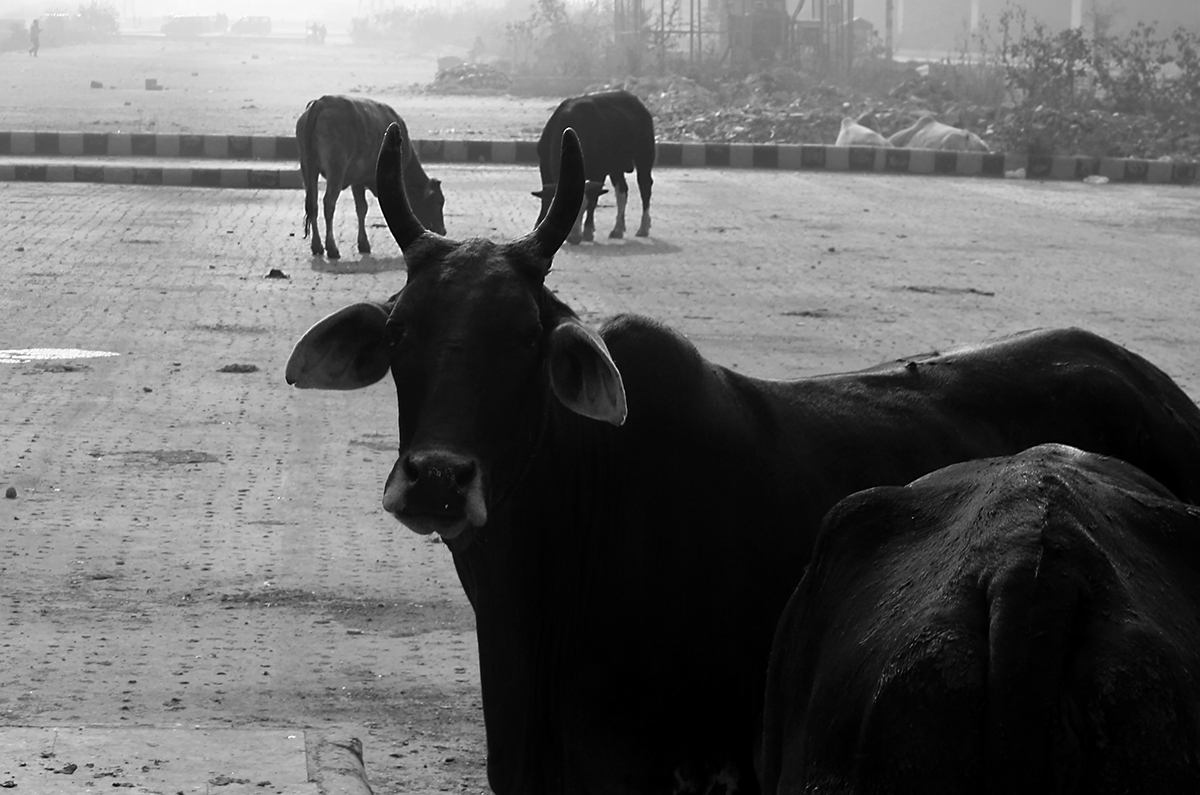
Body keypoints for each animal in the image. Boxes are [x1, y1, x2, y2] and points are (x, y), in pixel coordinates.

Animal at [296, 95, 446, 259]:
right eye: (439, 201)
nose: (443, 231)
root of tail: (321, 102)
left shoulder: (357, 181)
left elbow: (361, 208)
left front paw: (363, 244)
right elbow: (366, 208)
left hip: (308, 169)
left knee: (312, 204)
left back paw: (317, 246)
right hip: (336, 170)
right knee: (328, 203)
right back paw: (332, 248)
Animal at [532, 90, 655, 244]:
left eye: (582, 209)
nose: (574, 238)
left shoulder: (599, 172)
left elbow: (593, 200)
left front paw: (588, 231)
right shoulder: (544, 165)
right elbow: (545, 199)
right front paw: (538, 225)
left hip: (645, 157)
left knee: (645, 187)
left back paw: (643, 227)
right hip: (616, 167)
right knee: (622, 190)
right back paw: (618, 229)